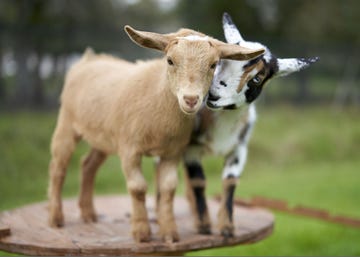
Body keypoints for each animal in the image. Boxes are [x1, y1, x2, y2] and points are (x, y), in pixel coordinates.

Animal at [47, 24, 264, 242]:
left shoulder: (172, 152)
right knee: (58, 167)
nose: (191, 99)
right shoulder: (129, 149)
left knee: (88, 165)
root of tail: (89, 59)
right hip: (66, 123)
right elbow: (138, 187)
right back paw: (56, 219)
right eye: (170, 60)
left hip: (103, 137)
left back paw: (88, 214)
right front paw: (141, 233)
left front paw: (170, 233)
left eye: (213, 64)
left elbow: (168, 188)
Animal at [184, 12, 320, 236]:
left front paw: (227, 228)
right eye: (220, 62)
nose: (213, 95)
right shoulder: (191, 148)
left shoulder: (239, 149)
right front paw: (204, 226)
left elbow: (230, 181)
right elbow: (198, 181)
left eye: (257, 78)